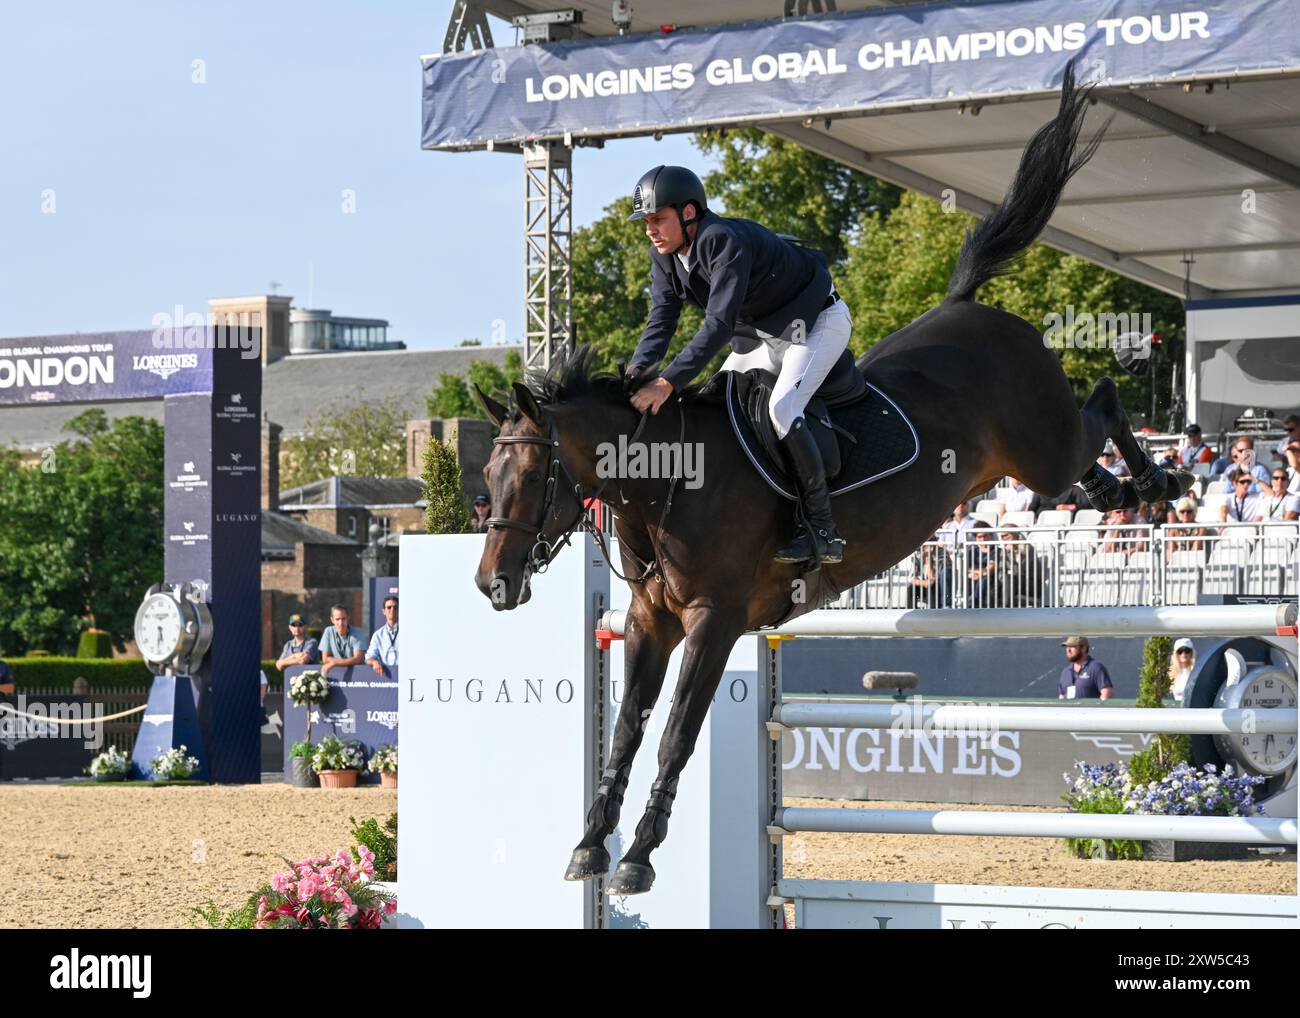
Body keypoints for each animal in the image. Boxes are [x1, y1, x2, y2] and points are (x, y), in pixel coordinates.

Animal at [467, 61, 1190, 894]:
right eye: (487, 477)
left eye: (532, 476)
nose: (492, 584)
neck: (666, 488)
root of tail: (972, 308)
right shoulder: (649, 620)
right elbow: (624, 732)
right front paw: (590, 846)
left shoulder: (715, 620)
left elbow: (676, 733)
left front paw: (638, 860)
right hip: (1025, 463)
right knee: (1083, 460)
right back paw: (1121, 492)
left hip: (1044, 444)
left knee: (1101, 402)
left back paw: (1159, 485)